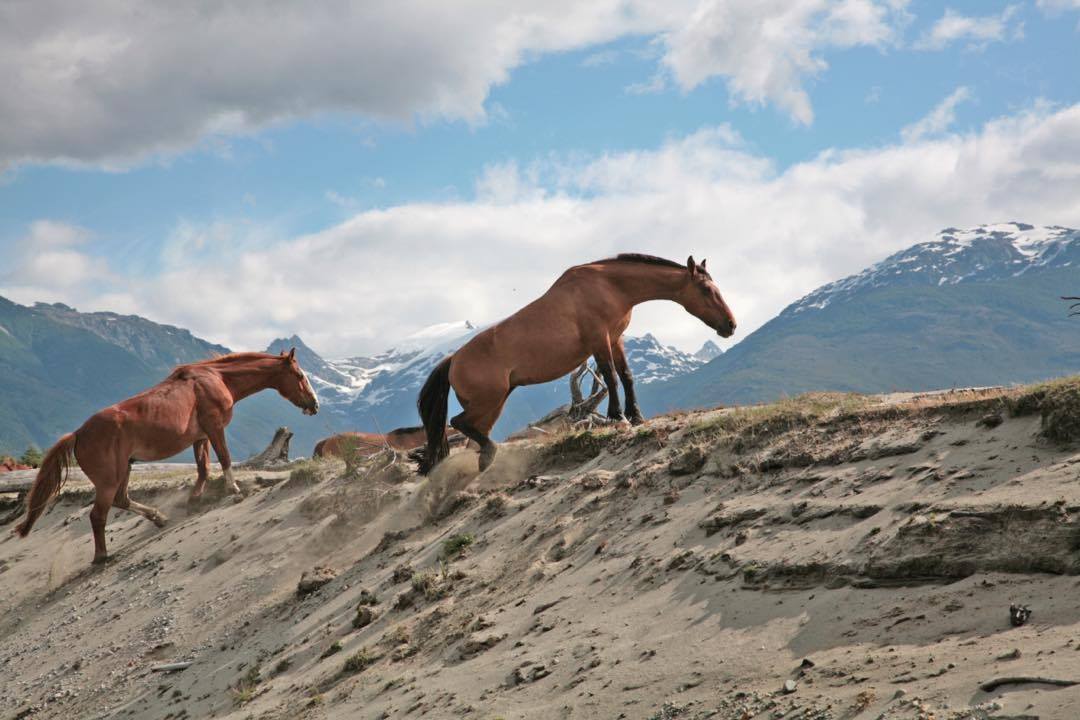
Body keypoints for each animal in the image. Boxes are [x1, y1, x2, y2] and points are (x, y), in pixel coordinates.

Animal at [14, 351, 317, 565]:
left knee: (122, 500)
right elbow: (225, 458)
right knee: (98, 514)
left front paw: (194, 500)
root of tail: (78, 433)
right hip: (109, 479)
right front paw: (234, 489)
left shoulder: (200, 437)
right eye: (299, 375)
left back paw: (158, 517)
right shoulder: (214, 428)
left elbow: (203, 469)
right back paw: (102, 556)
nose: (314, 404)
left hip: (125, 469)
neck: (215, 379)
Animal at [416, 255, 738, 474]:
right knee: (458, 423)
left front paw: (636, 415)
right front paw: (617, 417)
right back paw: (490, 453)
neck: (609, 286)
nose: (731, 325)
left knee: (469, 435)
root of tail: (453, 360)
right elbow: (610, 376)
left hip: (492, 406)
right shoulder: (600, 340)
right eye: (706, 290)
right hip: (489, 401)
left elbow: (626, 375)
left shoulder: (615, 339)